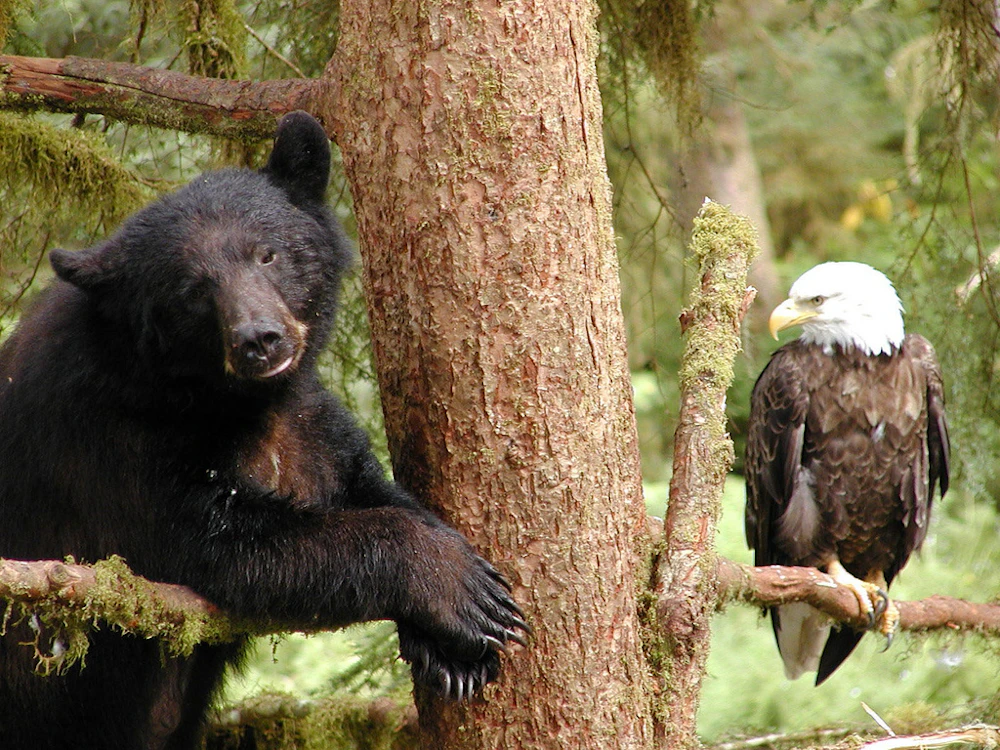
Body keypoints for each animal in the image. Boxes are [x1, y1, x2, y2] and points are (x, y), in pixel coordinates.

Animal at [0, 111, 527, 750]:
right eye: (192, 289)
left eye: (267, 254)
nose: (259, 339)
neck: (224, 397)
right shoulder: (112, 440)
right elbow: (225, 541)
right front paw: (463, 591)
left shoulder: (308, 421)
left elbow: (364, 483)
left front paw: (452, 651)